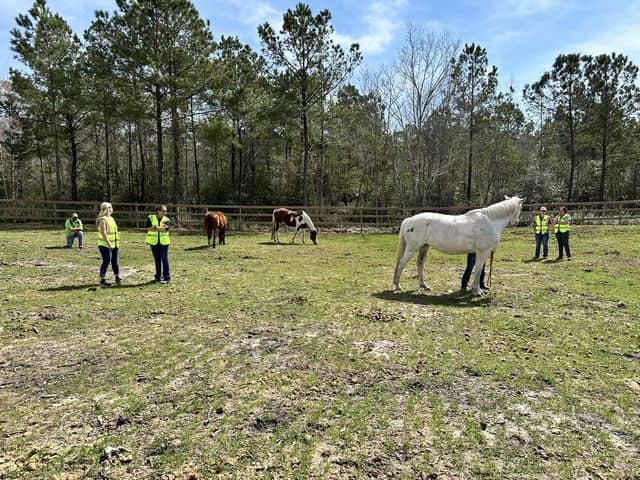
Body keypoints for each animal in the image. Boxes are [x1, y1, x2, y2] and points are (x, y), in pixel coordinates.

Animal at [390, 196, 524, 294]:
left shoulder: (481, 252)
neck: (490, 221)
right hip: (412, 248)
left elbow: (479, 270)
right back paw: (397, 286)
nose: (517, 222)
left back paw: (424, 286)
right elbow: (478, 270)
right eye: (521, 208)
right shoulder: (483, 252)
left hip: (424, 247)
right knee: (401, 264)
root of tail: (408, 220)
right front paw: (477, 291)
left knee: (420, 264)